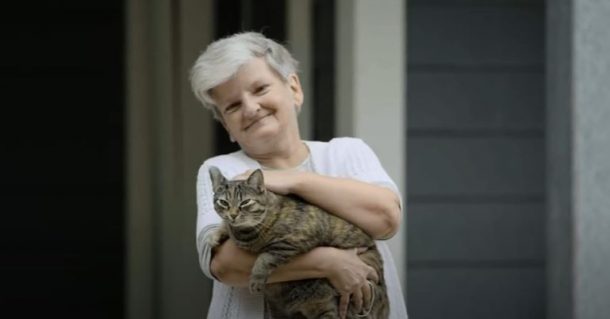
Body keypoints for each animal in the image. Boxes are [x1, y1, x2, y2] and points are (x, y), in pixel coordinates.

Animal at [204, 168, 388, 319]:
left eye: (245, 203)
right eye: (223, 203)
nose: (233, 215)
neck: (245, 233)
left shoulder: (291, 242)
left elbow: (264, 258)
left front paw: (256, 279)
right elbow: (224, 227)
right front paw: (214, 235)